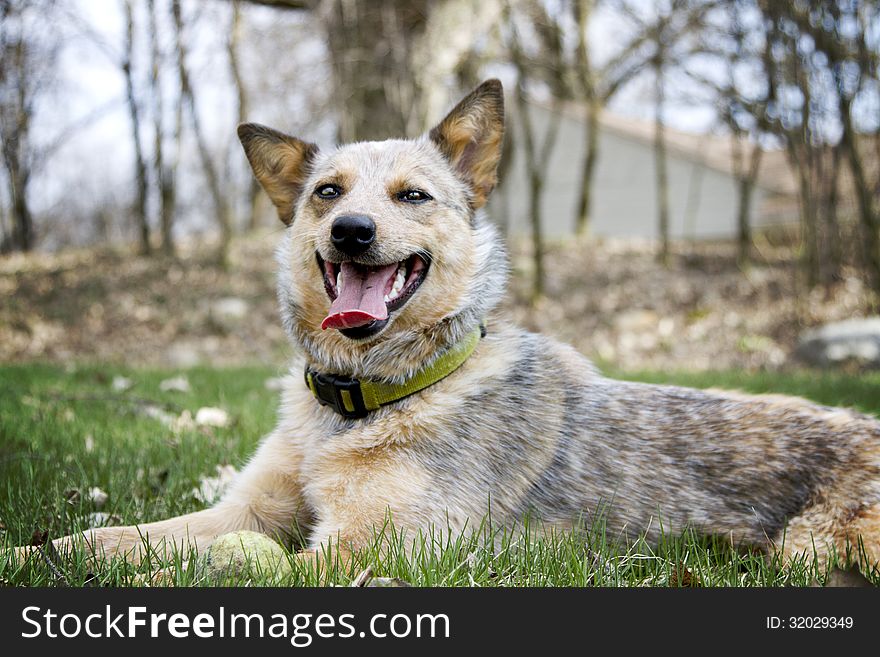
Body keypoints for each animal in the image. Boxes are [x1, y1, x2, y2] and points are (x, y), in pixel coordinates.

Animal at [13, 79, 880, 576]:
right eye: (326, 191)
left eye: (413, 196)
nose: (352, 230)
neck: (366, 398)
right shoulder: (244, 511)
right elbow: (123, 536)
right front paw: (34, 552)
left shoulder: (367, 549)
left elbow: (205, 574)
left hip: (811, 548)